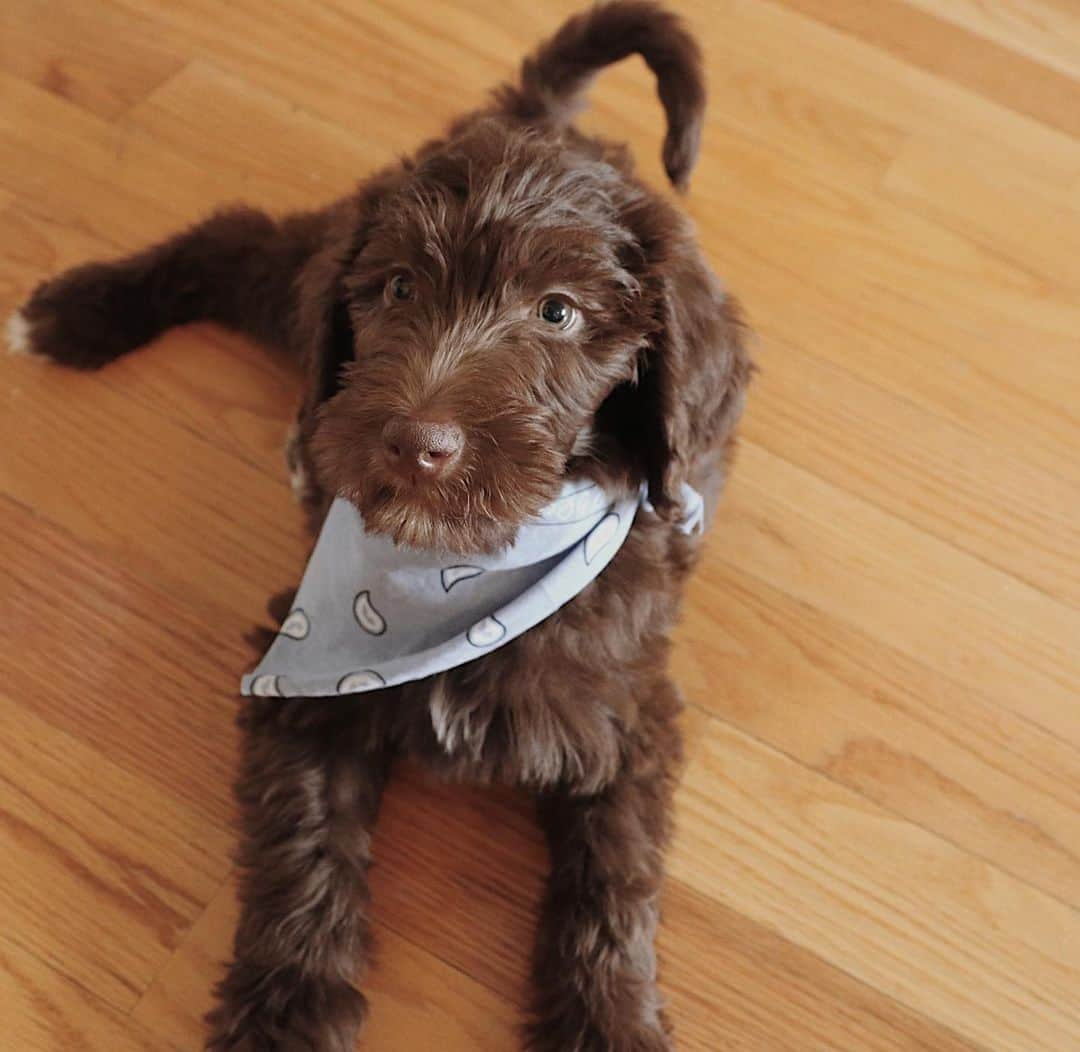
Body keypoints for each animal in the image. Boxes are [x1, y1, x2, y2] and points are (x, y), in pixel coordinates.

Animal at [10, 4, 751, 1049]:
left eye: (558, 313)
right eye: (399, 289)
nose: (416, 444)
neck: (458, 570)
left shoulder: (627, 720)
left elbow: (611, 886)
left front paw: (608, 1022)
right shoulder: (302, 690)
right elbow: (305, 849)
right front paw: (283, 1012)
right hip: (301, 292)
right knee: (241, 238)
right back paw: (80, 312)